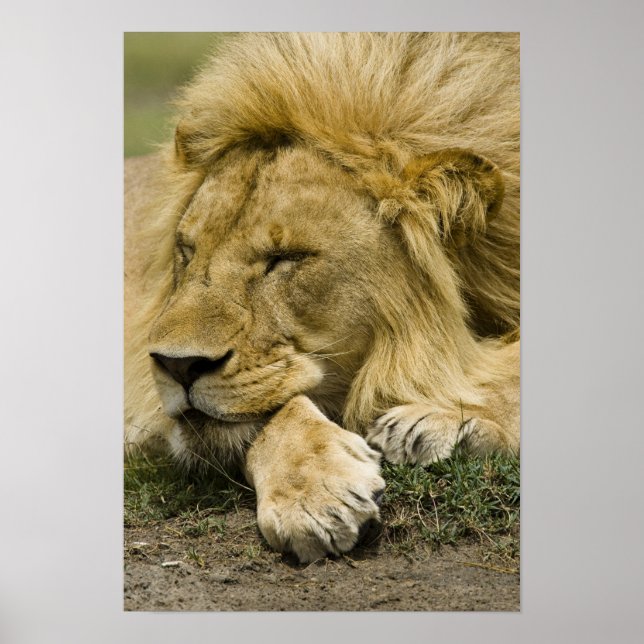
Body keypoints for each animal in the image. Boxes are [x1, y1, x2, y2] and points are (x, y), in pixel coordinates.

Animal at [125, 32, 520, 563]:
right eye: (187, 251)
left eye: (286, 257)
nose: (176, 365)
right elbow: (274, 407)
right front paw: (316, 495)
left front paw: (444, 420)